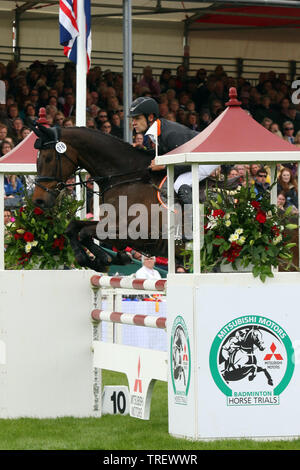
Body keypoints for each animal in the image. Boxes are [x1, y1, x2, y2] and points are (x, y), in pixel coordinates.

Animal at [30, 124, 240, 272]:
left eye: (48, 158)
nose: (38, 201)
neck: (126, 178)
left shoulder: (131, 232)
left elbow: (84, 233)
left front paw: (107, 259)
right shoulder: (110, 222)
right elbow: (72, 227)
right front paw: (97, 260)